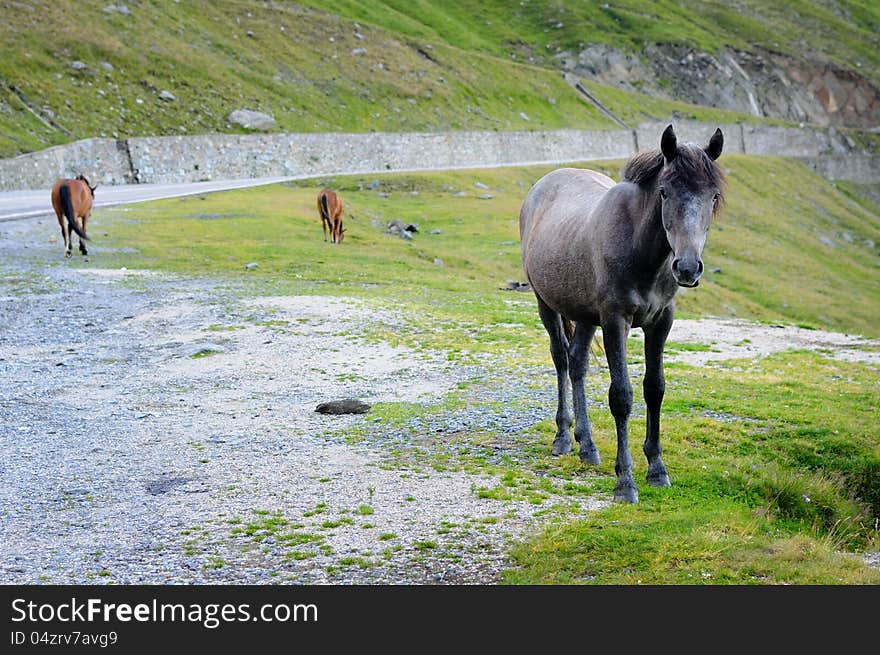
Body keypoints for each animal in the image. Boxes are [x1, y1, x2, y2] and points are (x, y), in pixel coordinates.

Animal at [520, 125, 724, 504]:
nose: (688, 267)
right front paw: (625, 481)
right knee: (561, 360)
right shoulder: (616, 321)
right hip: (547, 304)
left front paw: (657, 469)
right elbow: (622, 396)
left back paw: (587, 446)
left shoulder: (661, 322)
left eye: (713, 196)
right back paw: (563, 437)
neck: (639, 249)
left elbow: (654, 388)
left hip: (586, 315)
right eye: (664, 192)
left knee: (578, 364)